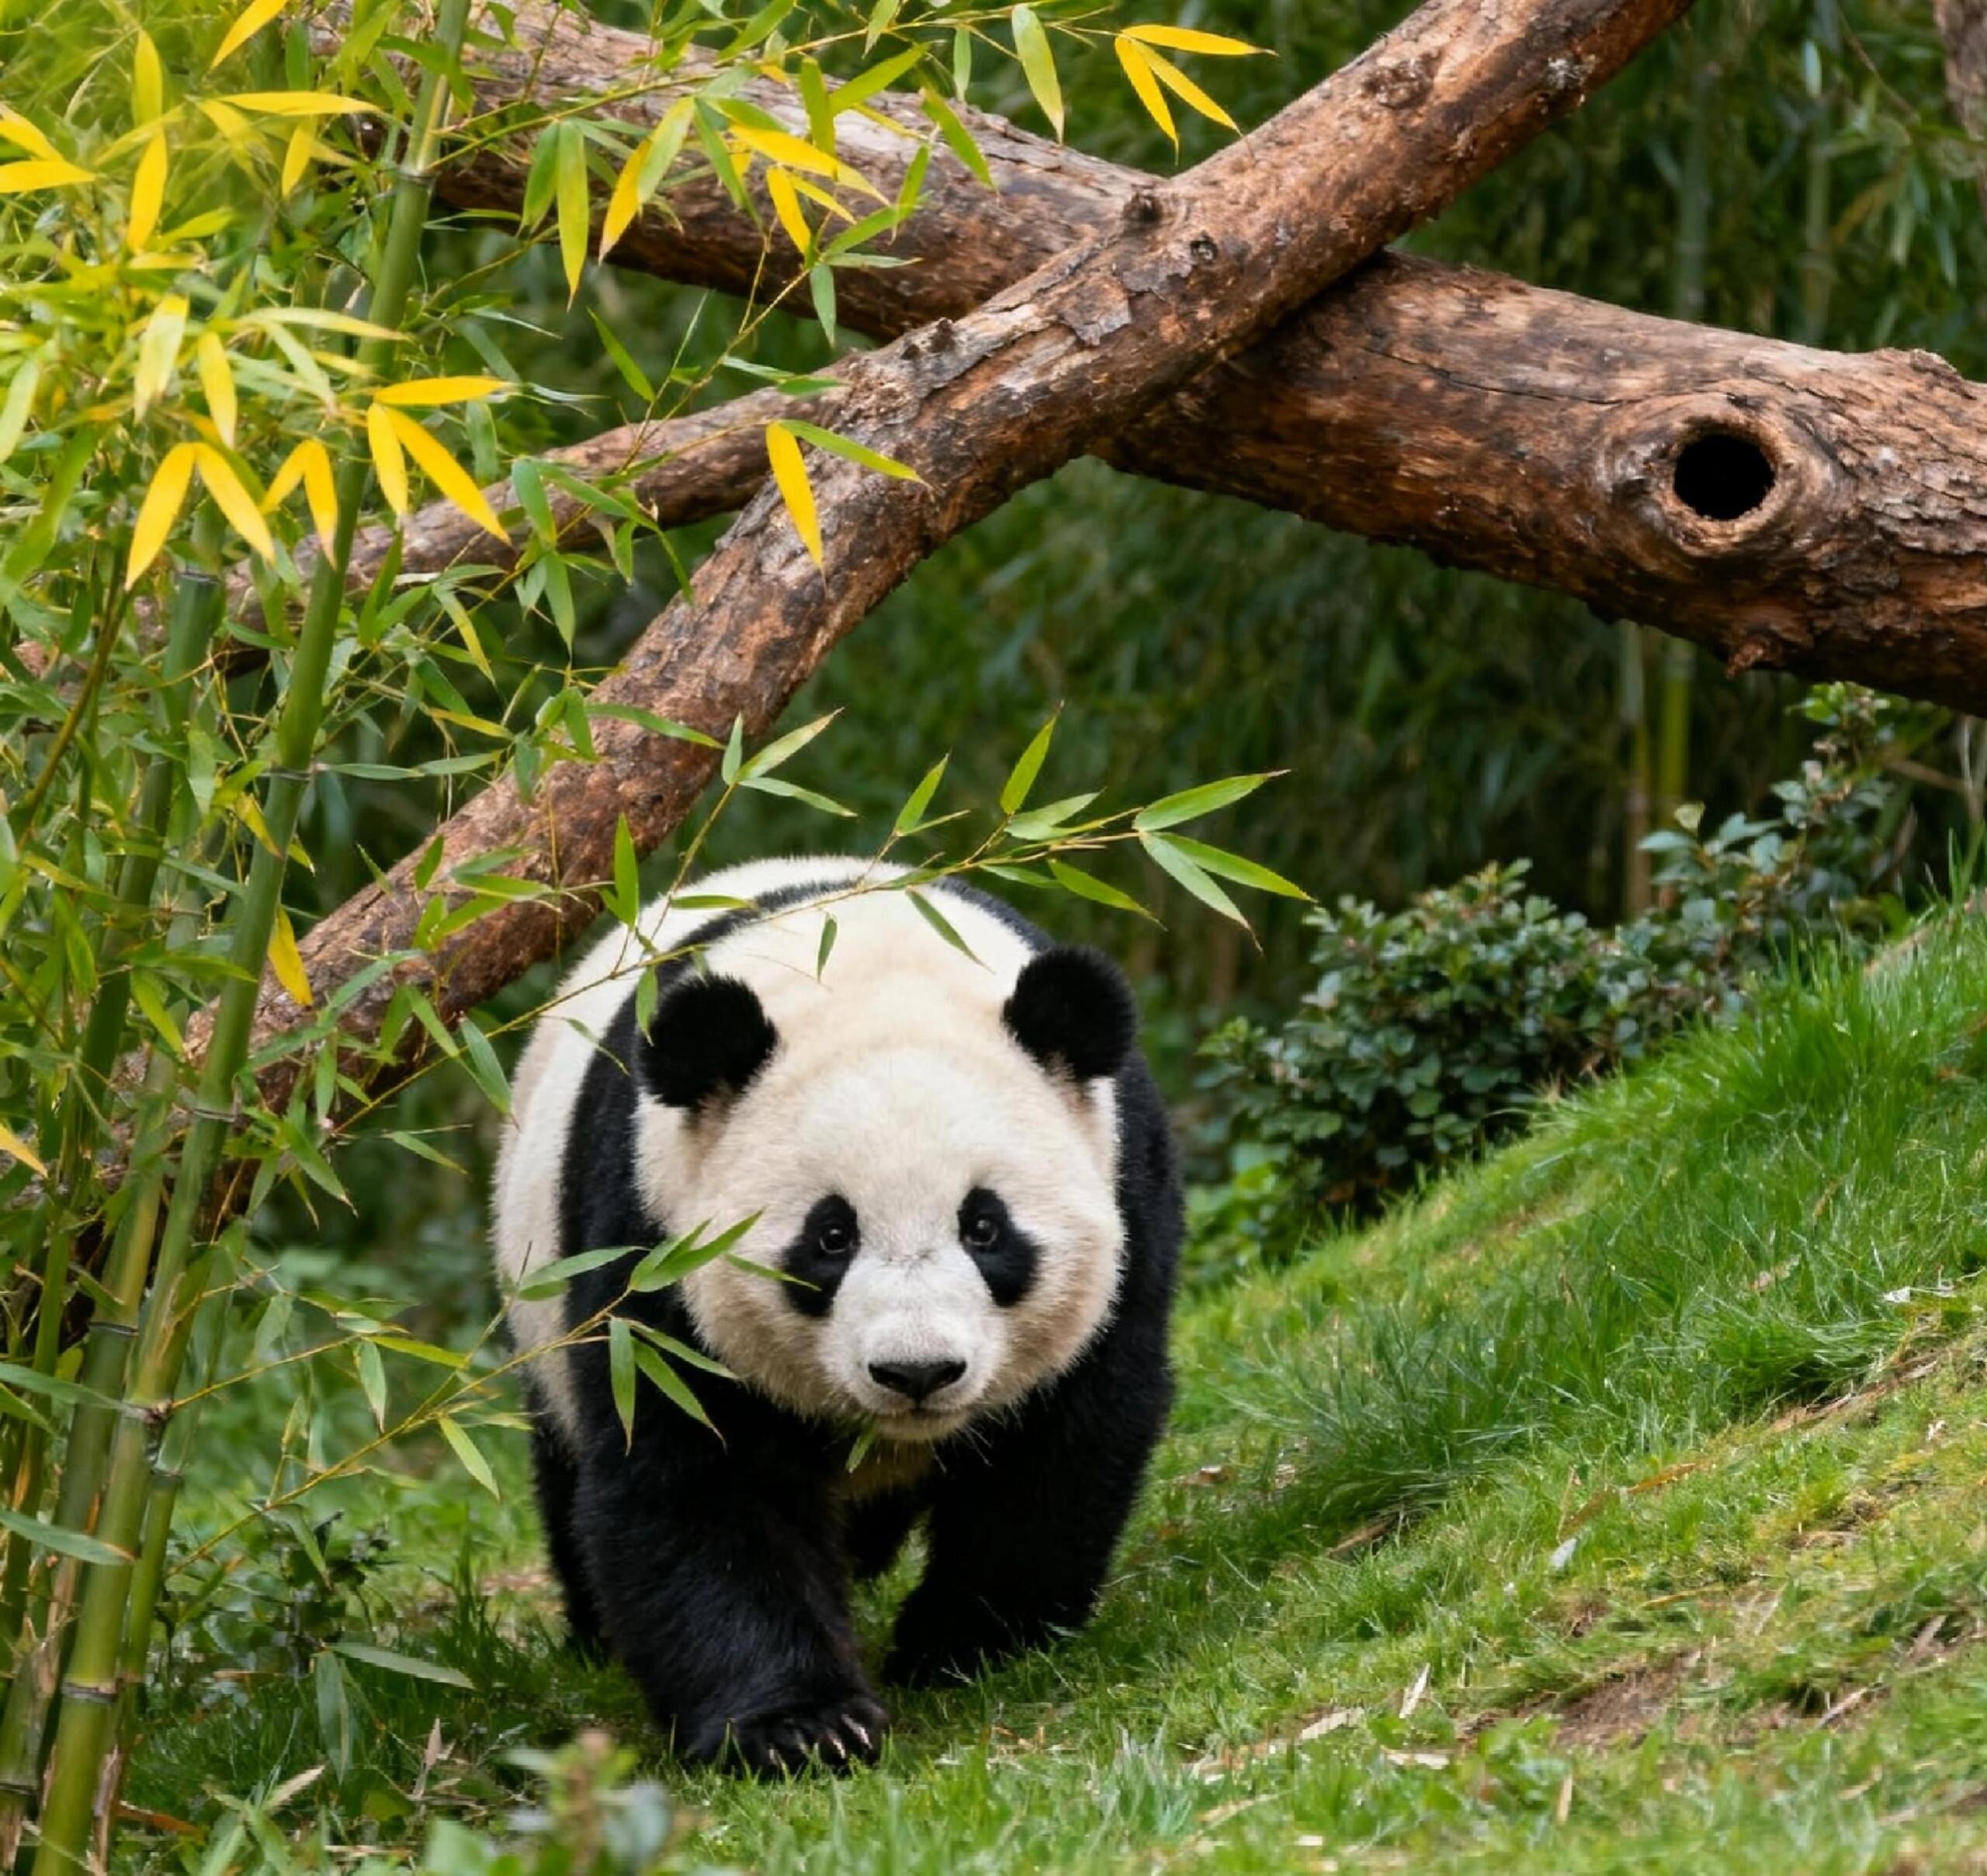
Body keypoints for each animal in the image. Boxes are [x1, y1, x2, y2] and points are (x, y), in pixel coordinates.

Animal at [491, 856, 1181, 1775]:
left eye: (984, 1226)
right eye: (830, 1236)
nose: (918, 1371)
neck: (864, 964)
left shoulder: (1126, 1196)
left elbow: (1061, 1444)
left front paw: (967, 1643)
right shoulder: (645, 1242)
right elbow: (699, 1481)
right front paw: (800, 1725)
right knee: (565, 1470)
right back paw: (594, 1637)